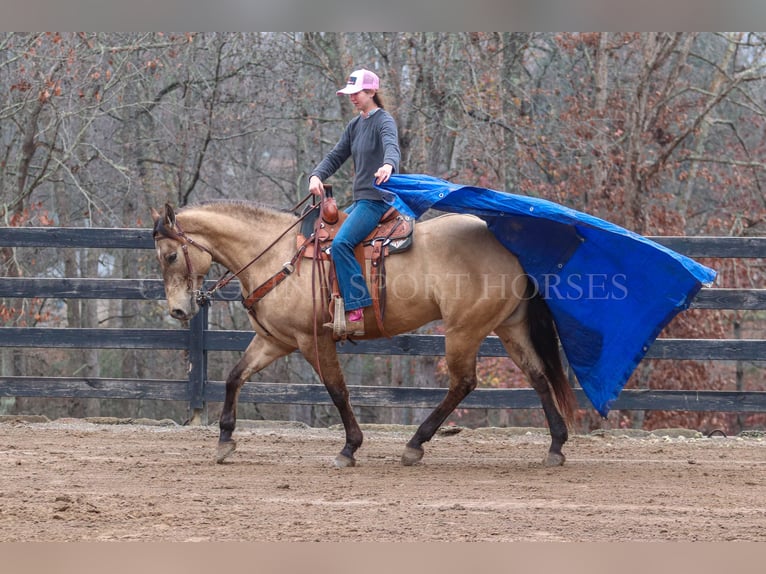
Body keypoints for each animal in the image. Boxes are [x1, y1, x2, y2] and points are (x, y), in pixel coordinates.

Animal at [153, 200, 580, 470]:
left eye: (171, 255)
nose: (178, 310)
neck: (277, 257)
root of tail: (507, 246)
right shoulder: (275, 340)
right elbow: (234, 377)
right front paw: (225, 441)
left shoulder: (312, 340)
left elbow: (338, 391)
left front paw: (349, 448)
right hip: (508, 327)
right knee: (539, 377)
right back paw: (556, 445)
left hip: (464, 330)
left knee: (463, 383)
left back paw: (414, 445)